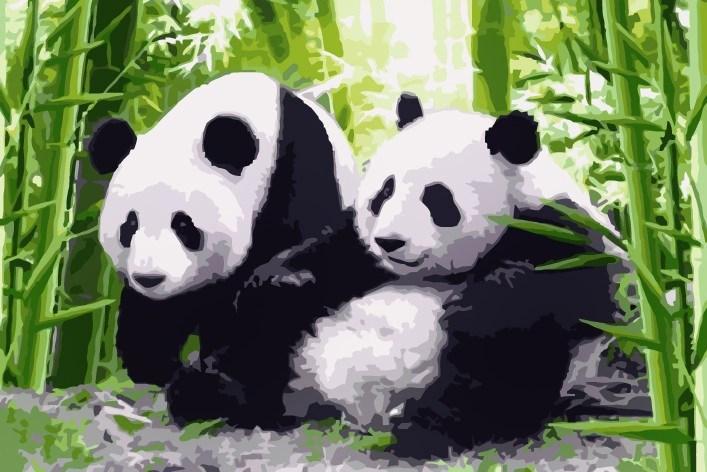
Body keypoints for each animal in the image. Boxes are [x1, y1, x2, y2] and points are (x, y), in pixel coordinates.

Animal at [86, 72, 359, 391]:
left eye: (183, 225)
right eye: (129, 226)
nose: (150, 278)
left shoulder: (300, 171)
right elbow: (156, 315)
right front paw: (157, 368)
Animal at [274, 94, 624, 458]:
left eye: (436, 198)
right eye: (384, 193)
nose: (389, 242)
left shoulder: (559, 230)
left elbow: (551, 296)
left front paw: (478, 307)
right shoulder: (356, 250)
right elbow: (326, 254)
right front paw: (291, 278)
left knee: (497, 371)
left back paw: (421, 431)